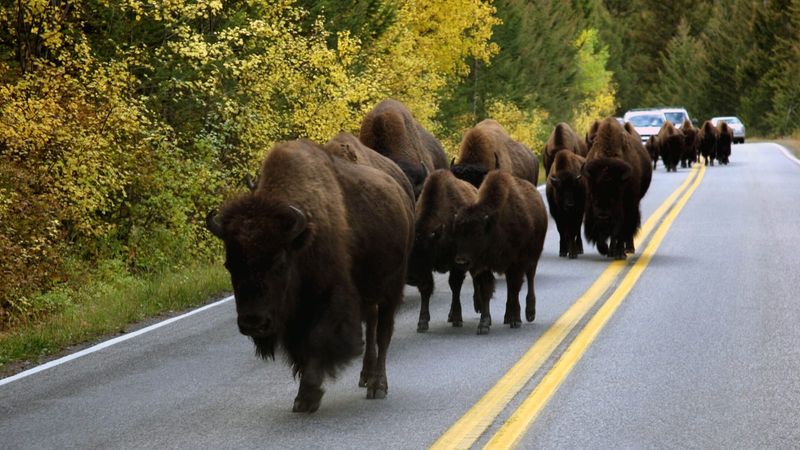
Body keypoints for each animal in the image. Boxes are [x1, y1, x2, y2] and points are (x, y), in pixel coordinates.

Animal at [206, 139, 412, 414]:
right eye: (230, 265)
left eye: (279, 261)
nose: (253, 322)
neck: (301, 241)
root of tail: (399, 192)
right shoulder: (295, 315)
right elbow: (301, 349)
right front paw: (303, 397)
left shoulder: (331, 300)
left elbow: (318, 340)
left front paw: (308, 396)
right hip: (370, 293)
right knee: (372, 327)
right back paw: (366, 376)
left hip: (392, 288)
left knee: (384, 333)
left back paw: (377, 386)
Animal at [406, 171, 488, 332]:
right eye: (408, 252)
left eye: (425, 251)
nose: (410, 278)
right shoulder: (427, 271)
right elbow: (426, 288)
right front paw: (422, 322)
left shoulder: (457, 264)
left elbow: (455, 285)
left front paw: (457, 318)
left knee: (476, 279)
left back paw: (478, 306)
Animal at [450, 170, 552, 334]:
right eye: (456, 233)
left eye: (477, 233)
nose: (461, 261)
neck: (494, 225)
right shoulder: (484, 266)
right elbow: (487, 290)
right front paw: (484, 324)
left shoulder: (516, 263)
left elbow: (514, 287)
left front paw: (516, 319)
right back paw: (507, 316)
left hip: (533, 257)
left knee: (529, 280)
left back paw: (529, 313)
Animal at [584, 118, 652, 260]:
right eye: (592, 194)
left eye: (615, 195)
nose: (603, 216)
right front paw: (604, 249)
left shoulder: (625, 206)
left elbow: (620, 230)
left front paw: (619, 253)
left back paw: (628, 249)